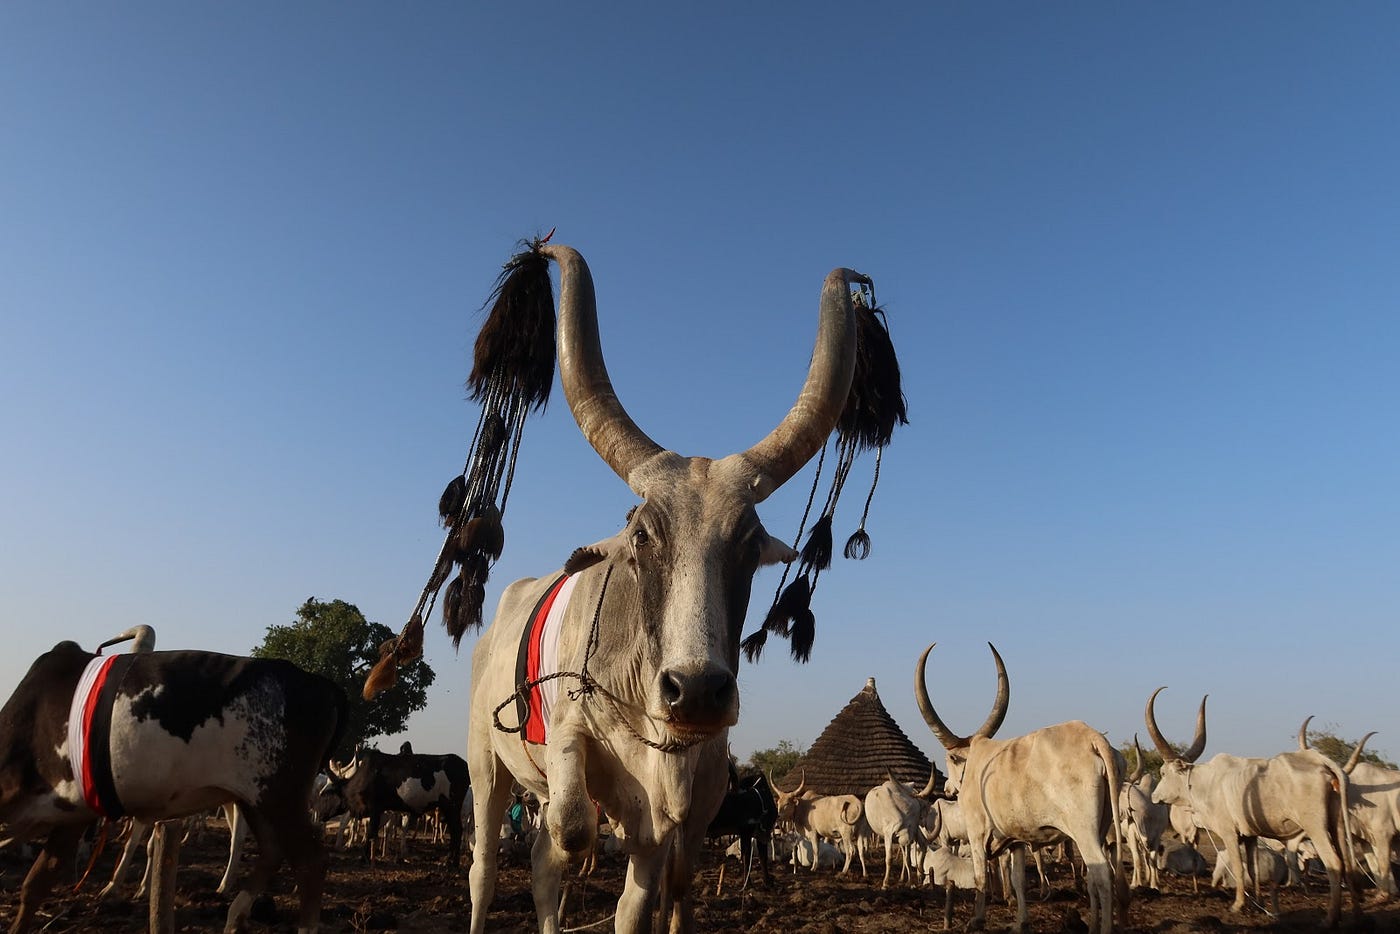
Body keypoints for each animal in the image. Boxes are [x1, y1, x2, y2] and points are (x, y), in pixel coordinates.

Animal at [0, 630, 346, 934]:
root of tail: (320, 683)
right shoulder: (72, 813)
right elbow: (36, 883)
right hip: (254, 799)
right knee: (273, 851)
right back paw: (234, 917)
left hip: (280, 798)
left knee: (311, 862)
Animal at [316, 748, 469, 866]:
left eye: (328, 793)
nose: (322, 815)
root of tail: (463, 764)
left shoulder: (375, 809)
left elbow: (371, 833)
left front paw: (364, 858)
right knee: (456, 831)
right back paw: (451, 861)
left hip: (452, 806)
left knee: (457, 830)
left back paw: (450, 862)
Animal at [451, 241, 888, 934]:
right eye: (641, 537)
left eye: (749, 545)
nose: (697, 692)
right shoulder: (571, 734)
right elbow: (575, 828)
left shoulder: (694, 801)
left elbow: (656, 892)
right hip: (483, 762)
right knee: (493, 864)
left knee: (549, 865)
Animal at [914, 643, 1125, 934]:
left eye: (951, 760)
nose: (947, 789)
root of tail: (1092, 738)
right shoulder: (1015, 841)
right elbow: (1017, 880)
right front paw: (1020, 922)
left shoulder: (977, 833)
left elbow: (981, 877)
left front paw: (976, 919)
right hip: (1102, 826)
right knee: (1095, 876)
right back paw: (1091, 924)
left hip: (1084, 830)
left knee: (1103, 874)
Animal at [1145, 687, 1361, 927]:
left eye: (1163, 773)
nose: (1155, 797)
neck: (1207, 782)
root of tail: (1321, 761)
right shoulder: (1250, 836)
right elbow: (1252, 868)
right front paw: (1258, 902)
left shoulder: (1229, 833)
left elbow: (1239, 867)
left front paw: (1238, 905)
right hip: (1336, 825)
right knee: (1348, 863)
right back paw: (1356, 915)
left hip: (1316, 828)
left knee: (1334, 863)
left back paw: (1330, 918)